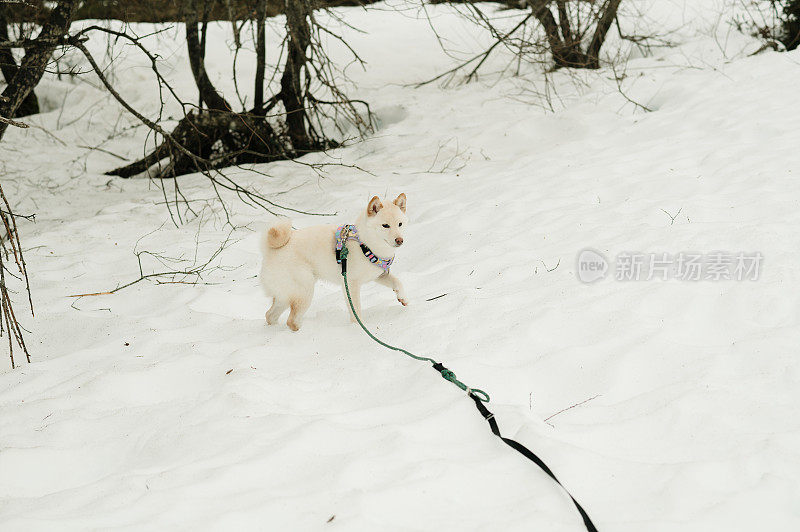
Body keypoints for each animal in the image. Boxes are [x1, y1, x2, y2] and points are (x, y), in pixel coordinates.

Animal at [258, 193, 410, 330]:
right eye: (385, 225)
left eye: (400, 224)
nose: (400, 240)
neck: (365, 243)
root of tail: (271, 250)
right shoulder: (350, 283)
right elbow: (356, 309)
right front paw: (358, 327)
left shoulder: (379, 275)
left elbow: (398, 282)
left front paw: (403, 298)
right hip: (305, 291)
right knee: (291, 321)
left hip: (285, 295)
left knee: (270, 315)